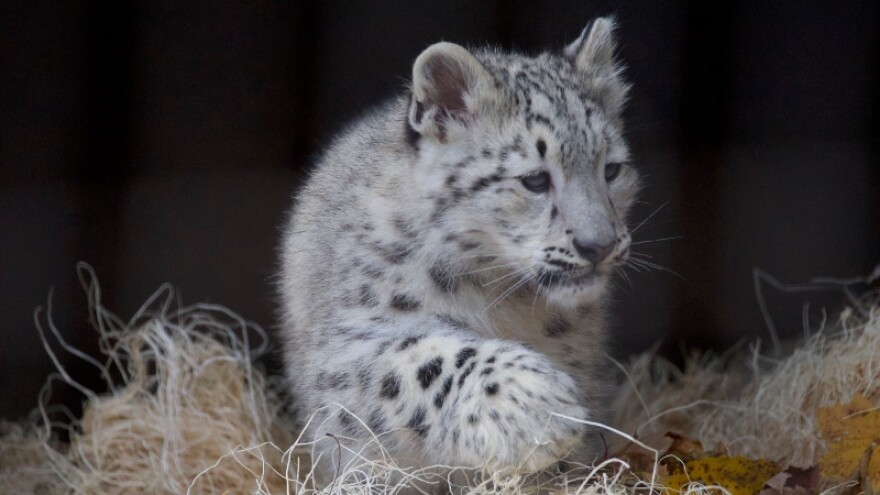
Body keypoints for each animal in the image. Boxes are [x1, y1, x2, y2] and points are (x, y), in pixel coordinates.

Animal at [278, 16, 639, 486]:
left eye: (611, 170)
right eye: (535, 180)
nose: (598, 245)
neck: (511, 304)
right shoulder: (347, 344)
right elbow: (415, 361)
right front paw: (541, 407)